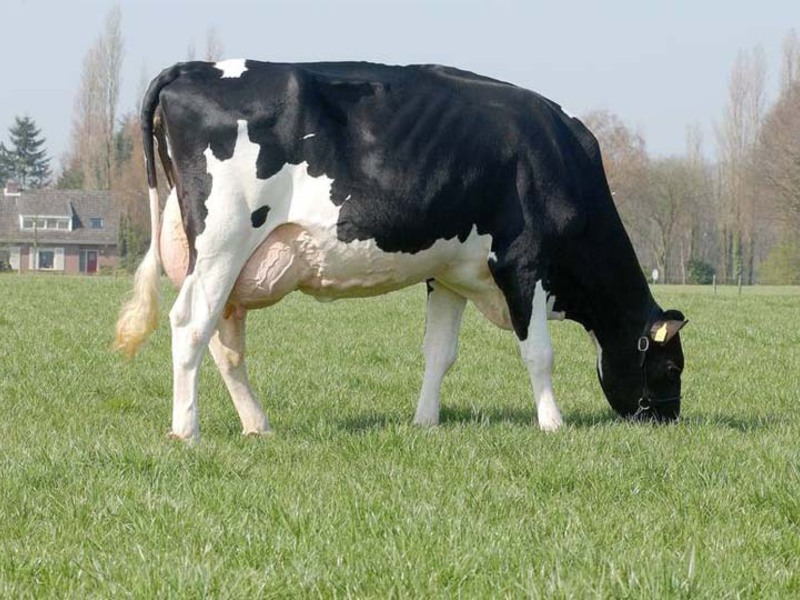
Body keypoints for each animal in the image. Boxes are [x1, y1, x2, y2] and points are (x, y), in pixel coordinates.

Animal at [115, 59, 687, 441]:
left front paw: (425, 422)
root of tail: (191, 68)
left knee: (226, 343)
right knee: (191, 324)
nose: (668, 420)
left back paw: (258, 425)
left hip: (232, 265)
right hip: (223, 242)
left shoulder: (451, 271)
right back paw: (186, 431)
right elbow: (539, 353)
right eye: (672, 368)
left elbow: (439, 353)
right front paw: (552, 424)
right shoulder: (523, 263)